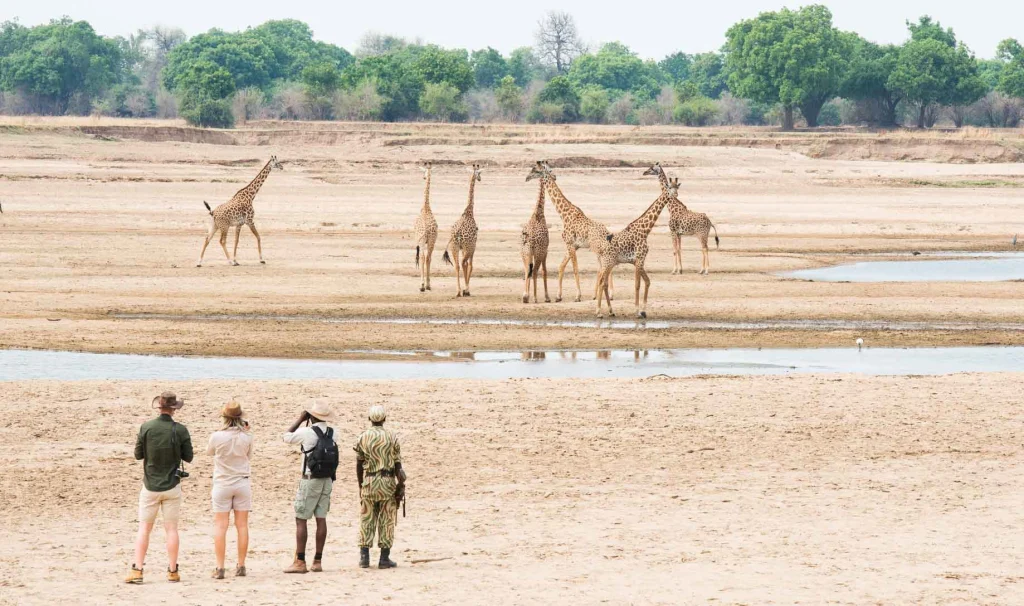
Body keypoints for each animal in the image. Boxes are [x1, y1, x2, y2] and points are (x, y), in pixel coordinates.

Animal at [442, 164, 481, 297]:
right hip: (467, 247)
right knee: (464, 264)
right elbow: (471, 265)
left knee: (457, 266)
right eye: (480, 173)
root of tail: (457, 234)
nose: (480, 179)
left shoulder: (462, 248)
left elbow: (464, 265)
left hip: (454, 247)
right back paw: (464, 290)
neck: (469, 211)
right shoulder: (473, 246)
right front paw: (467, 289)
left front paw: (464, 289)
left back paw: (458, 291)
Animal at [525, 161, 613, 303]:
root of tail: (608, 233)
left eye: (535, 170)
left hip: (597, 249)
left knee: (603, 268)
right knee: (605, 267)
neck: (563, 214)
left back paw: (606, 294)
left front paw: (578, 296)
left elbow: (575, 269)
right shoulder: (573, 245)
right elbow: (561, 266)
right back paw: (605, 294)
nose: (527, 178)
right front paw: (558, 296)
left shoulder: (570, 244)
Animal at [594, 178, 679, 318]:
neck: (645, 230)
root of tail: (600, 248)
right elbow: (637, 285)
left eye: (677, 187)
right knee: (601, 282)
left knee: (604, 283)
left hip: (610, 263)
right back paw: (599, 312)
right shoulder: (639, 260)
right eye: (669, 187)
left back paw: (611, 311)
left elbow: (647, 281)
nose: (676, 195)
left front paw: (644, 311)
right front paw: (637, 311)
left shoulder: (638, 261)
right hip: (607, 263)